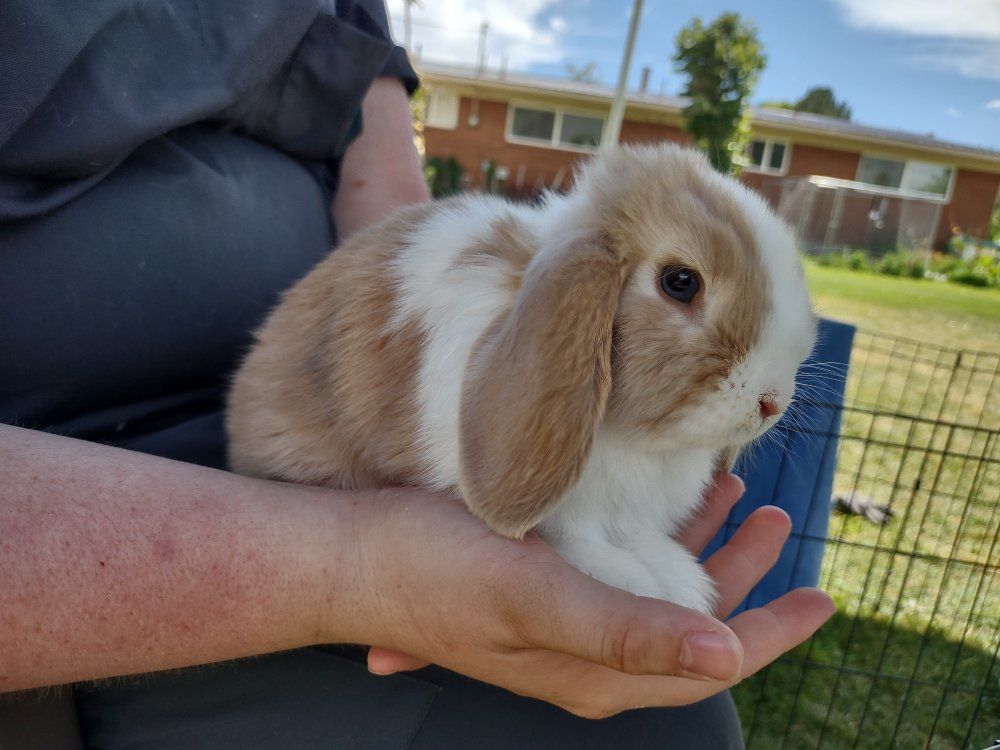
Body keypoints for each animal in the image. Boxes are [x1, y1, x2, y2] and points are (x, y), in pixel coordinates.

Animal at [227, 143, 817, 614]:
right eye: (680, 282)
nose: (772, 402)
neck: (635, 442)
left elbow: (636, 535)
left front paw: (677, 577)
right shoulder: (567, 511)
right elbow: (577, 538)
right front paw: (643, 583)